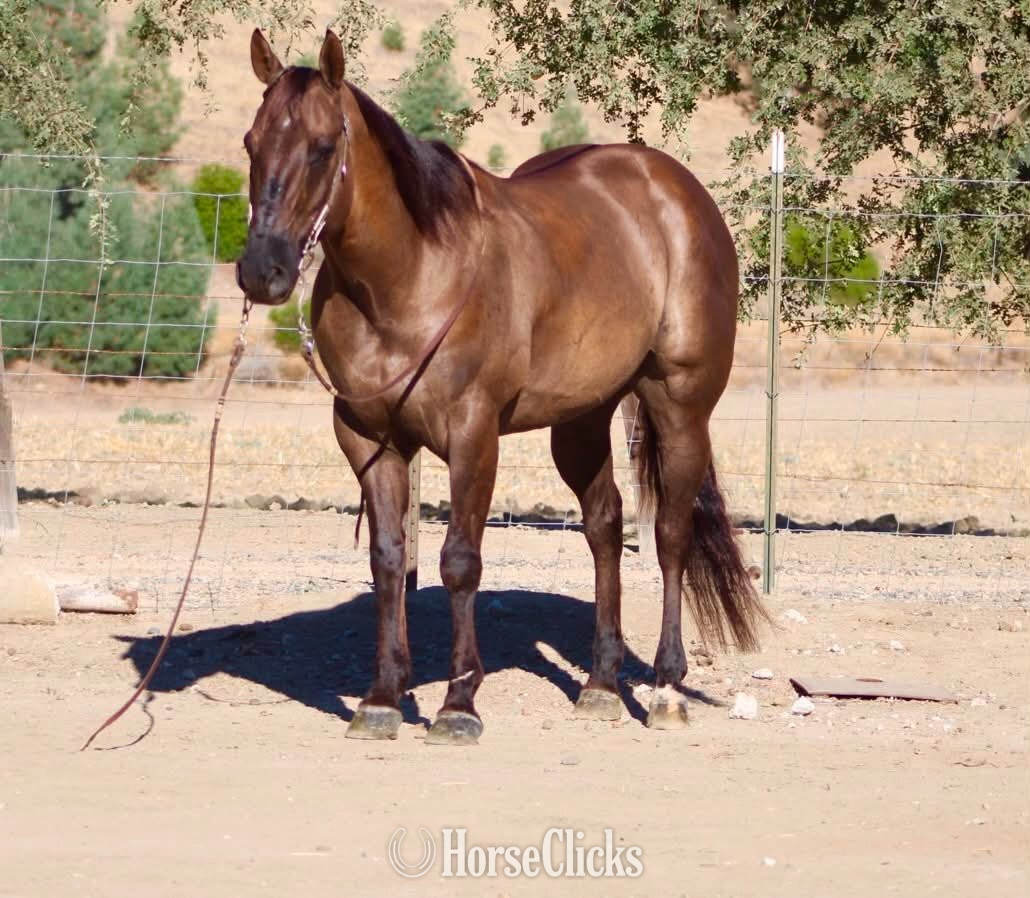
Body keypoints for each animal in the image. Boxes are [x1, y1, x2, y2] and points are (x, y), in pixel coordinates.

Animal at [235, 28, 768, 745]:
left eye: (322, 147)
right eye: (251, 142)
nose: (261, 271)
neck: (411, 276)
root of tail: (676, 190)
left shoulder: (472, 434)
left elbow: (460, 561)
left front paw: (458, 704)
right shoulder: (368, 438)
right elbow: (387, 560)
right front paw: (382, 699)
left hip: (679, 405)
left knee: (671, 536)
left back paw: (664, 690)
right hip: (581, 420)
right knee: (605, 526)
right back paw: (601, 685)